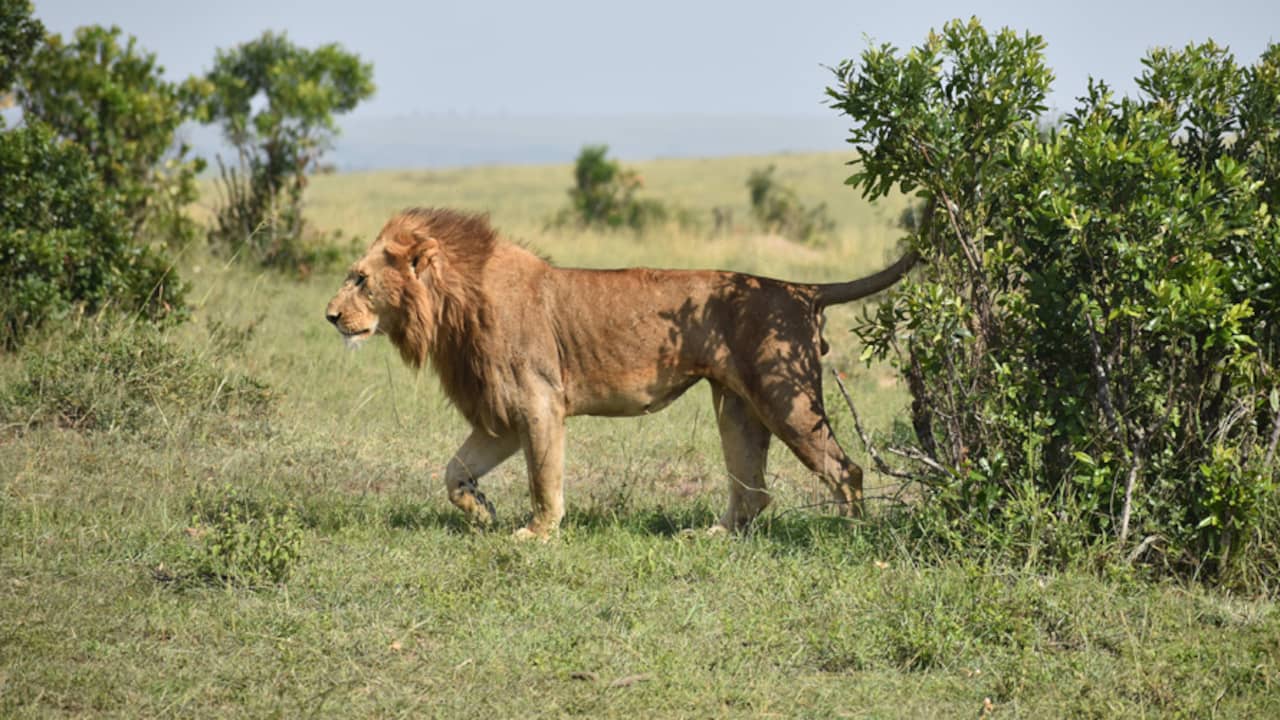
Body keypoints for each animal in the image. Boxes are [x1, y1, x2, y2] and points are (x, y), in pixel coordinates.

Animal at [325, 204, 916, 535]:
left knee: (845, 470)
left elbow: (543, 479)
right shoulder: (503, 418)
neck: (453, 306)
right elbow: (453, 474)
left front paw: (537, 534)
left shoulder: (539, 402)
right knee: (753, 490)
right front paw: (483, 514)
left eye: (359, 279)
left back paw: (845, 535)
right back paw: (713, 535)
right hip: (737, 405)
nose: (329, 315)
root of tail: (799, 287)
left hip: (783, 396)